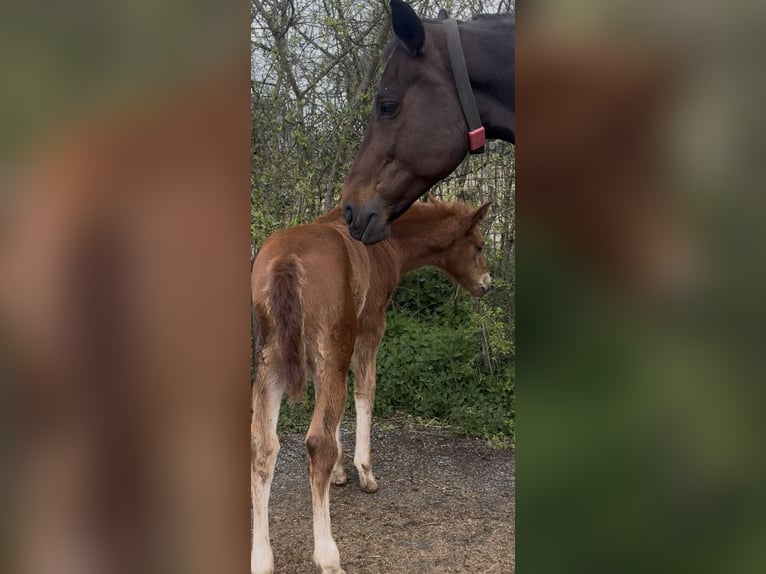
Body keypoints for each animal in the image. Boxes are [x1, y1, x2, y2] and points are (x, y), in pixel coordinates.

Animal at [250, 197, 491, 574]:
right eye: (479, 244)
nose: (487, 283)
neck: (383, 245)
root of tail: (286, 262)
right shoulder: (371, 326)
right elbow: (365, 390)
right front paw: (364, 472)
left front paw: (339, 474)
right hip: (325, 349)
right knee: (316, 443)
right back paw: (328, 556)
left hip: (271, 363)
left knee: (263, 445)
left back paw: (261, 558)